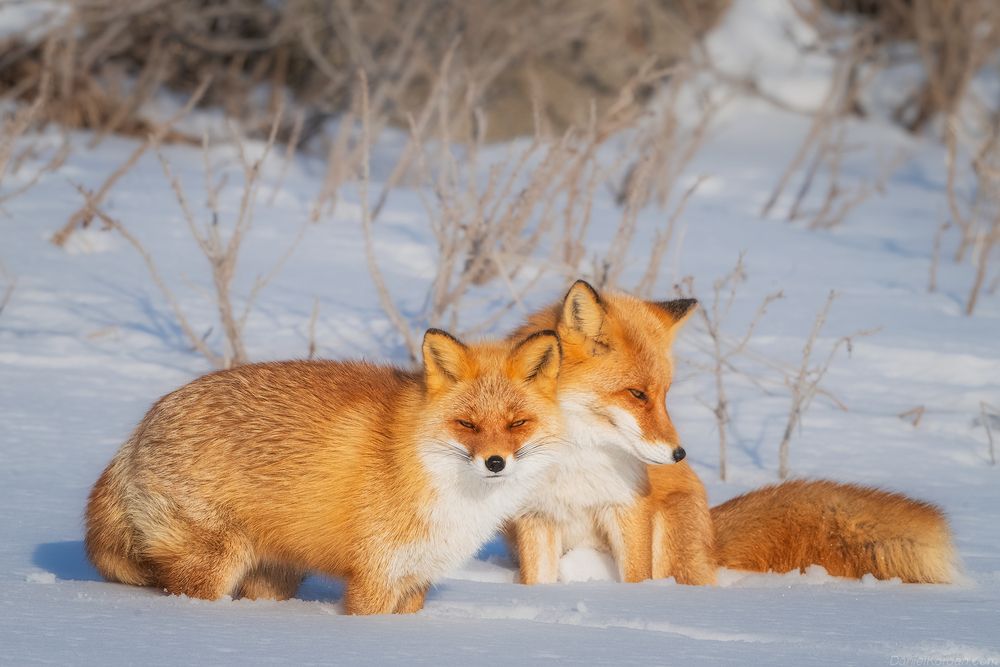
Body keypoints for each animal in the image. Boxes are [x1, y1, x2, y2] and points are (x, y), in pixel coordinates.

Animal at [85, 327, 564, 615]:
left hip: (275, 577)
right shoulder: (375, 577)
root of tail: (142, 426)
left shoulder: (416, 579)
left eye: (517, 424)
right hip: (212, 565)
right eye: (467, 424)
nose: (495, 462)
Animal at [505, 280, 957, 586]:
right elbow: (537, 582)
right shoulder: (535, 518)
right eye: (636, 394)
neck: (574, 463)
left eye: (665, 394)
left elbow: (636, 579)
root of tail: (711, 532)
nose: (678, 455)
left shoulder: (628, 510)